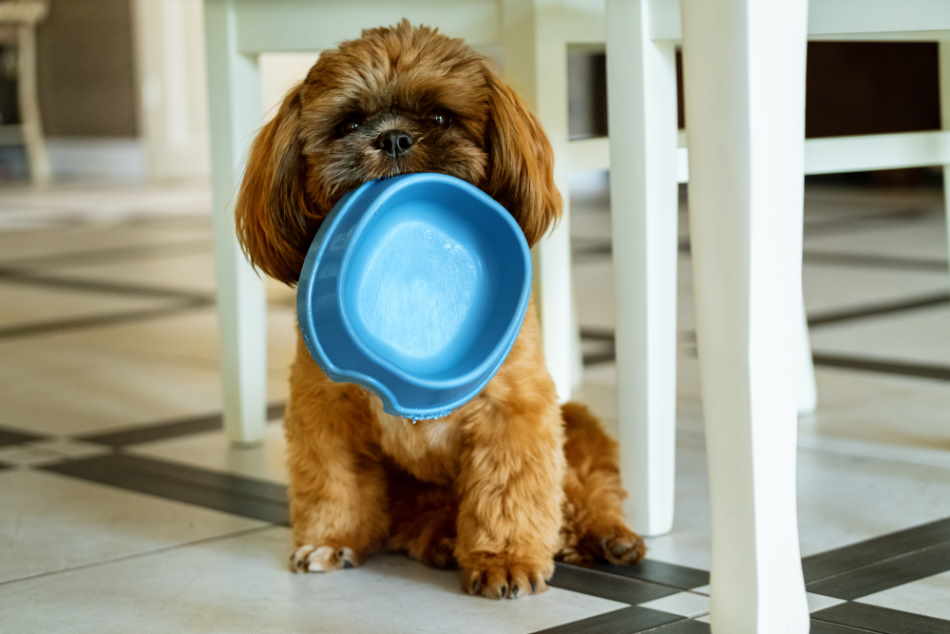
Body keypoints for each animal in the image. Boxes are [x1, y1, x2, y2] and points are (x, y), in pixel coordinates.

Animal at [236, 19, 648, 596]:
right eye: (350, 122)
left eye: (439, 117)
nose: (393, 137)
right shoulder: (325, 410)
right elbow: (331, 481)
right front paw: (330, 538)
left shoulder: (513, 409)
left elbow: (508, 488)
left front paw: (504, 560)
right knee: (423, 515)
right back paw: (444, 538)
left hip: (578, 419)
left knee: (586, 485)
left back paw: (604, 534)